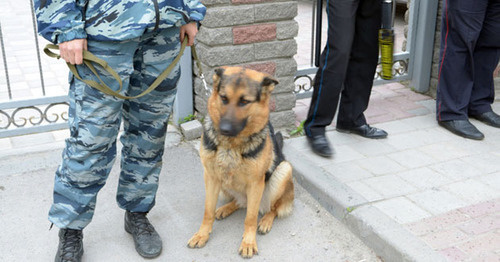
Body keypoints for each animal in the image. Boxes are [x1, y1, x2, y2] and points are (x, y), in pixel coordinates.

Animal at [189, 66, 294, 256]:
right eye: (224, 98)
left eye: (244, 101)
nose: (224, 129)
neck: (230, 146)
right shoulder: (211, 177)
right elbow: (208, 211)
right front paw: (202, 234)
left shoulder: (255, 183)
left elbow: (250, 218)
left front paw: (248, 243)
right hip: (223, 186)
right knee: (240, 202)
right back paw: (226, 208)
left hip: (283, 170)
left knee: (273, 208)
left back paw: (266, 220)